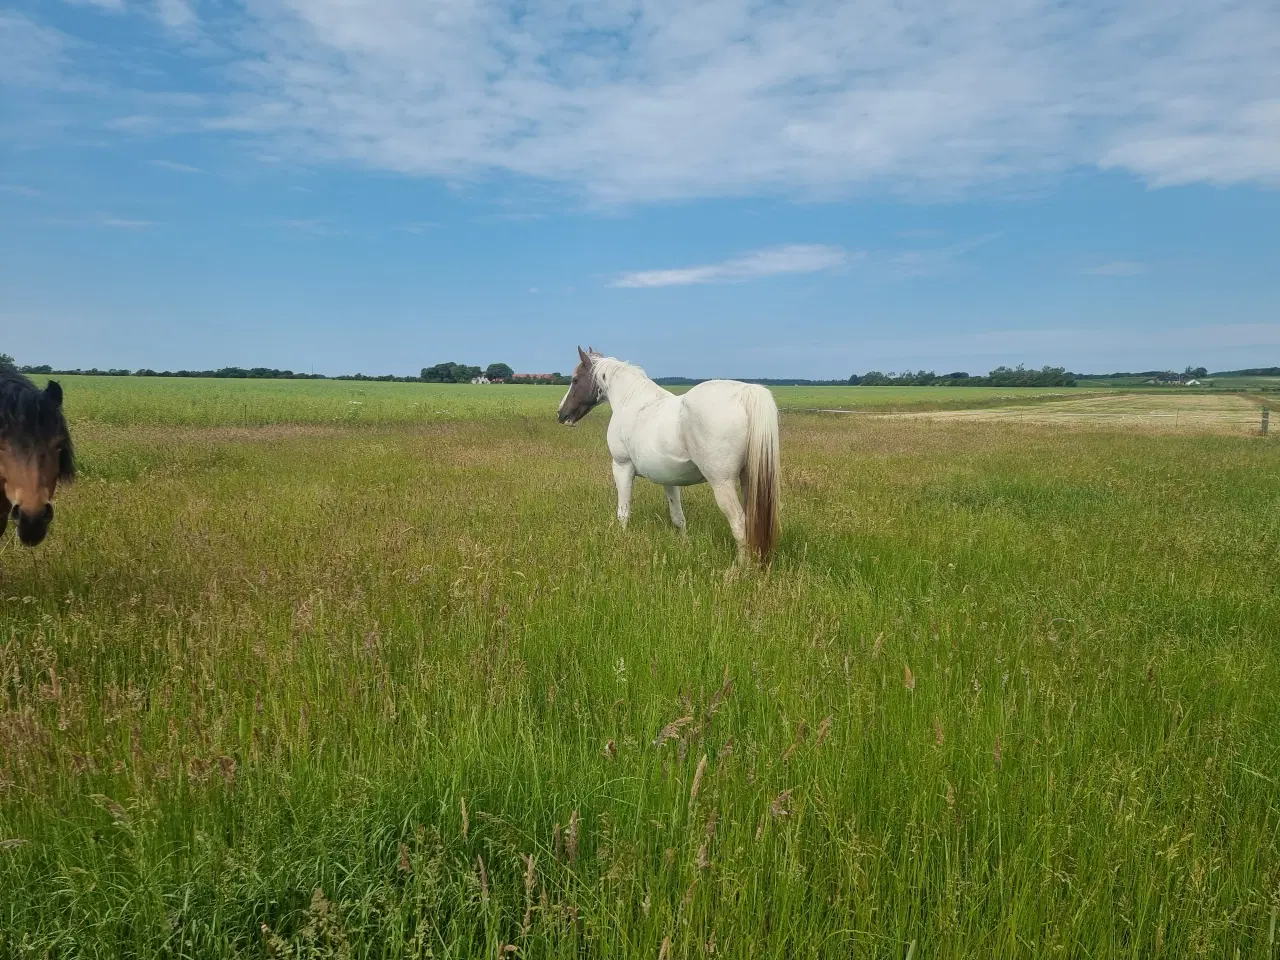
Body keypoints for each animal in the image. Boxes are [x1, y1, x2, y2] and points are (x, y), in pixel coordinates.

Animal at [558, 350, 778, 563]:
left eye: (575, 379)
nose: (561, 414)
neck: (632, 401)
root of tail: (745, 394)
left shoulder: (621, 467)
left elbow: (623, 513)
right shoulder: (669, 479)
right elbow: (678, 517)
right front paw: (685, 545)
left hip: (722, 484)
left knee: (740, 526)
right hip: (749, 481)